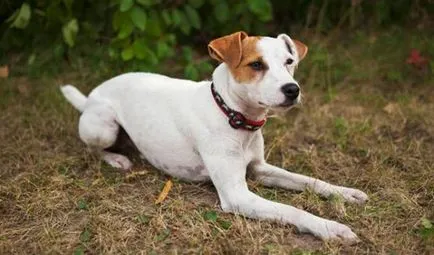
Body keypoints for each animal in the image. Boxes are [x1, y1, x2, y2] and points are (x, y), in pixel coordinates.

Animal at [60, 31, 366, 241]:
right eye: (256, 65)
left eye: (289, 61)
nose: (293, 89)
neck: (232, 114)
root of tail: (90, 96)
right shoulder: (237, 194)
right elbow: (291, 210)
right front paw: (330, 227)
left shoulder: (260, 168)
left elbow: (309, 180)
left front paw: (344, 193)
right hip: (103, 127)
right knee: (92, 148)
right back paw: (116, 159)